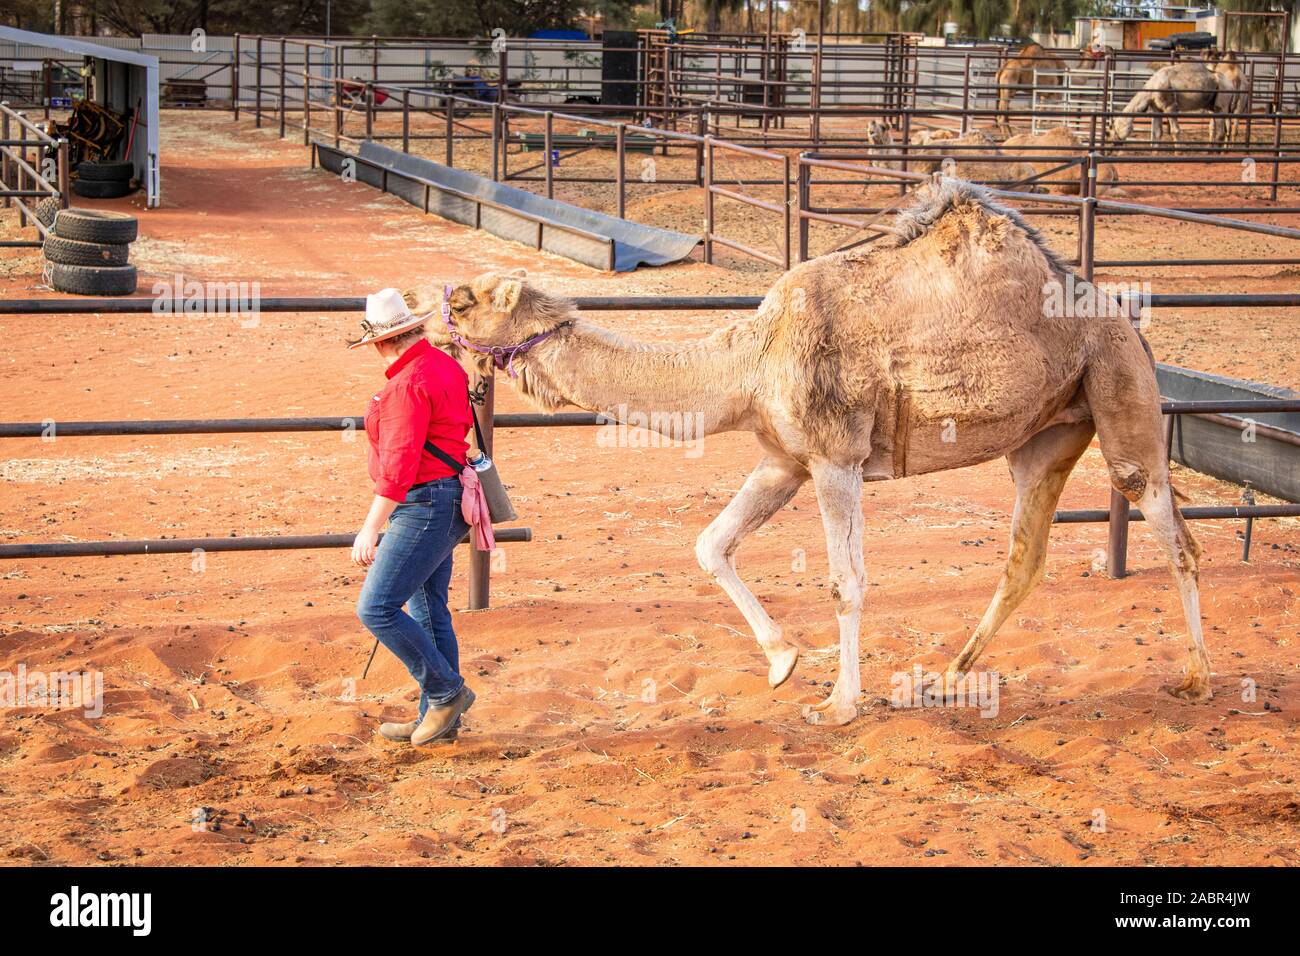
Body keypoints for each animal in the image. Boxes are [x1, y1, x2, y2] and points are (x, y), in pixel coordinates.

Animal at [418, 178, 1216, 723]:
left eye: (467, 302)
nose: (422, 318)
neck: (749, 360)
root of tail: (1121, 316)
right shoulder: (784, 460)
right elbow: (711, 544)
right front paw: (781, 664)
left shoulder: (835, 459)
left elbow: (845, 581)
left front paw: (838, 703)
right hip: (1046, 435)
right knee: (1025, 558)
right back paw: (941, 678)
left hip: (1118, 387)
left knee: (1170, 528)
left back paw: (1200, 677)